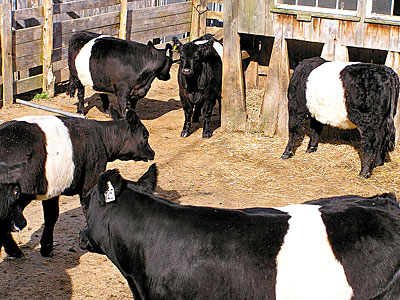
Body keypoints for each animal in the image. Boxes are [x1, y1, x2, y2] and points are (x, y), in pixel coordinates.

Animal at [0, 109, 155, 256]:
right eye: (145, 135)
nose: (152, 153)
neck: (101, 136)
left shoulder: (53, 188)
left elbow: (51, 216)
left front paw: (46, 248)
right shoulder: (90, 180)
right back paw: (14, 251)